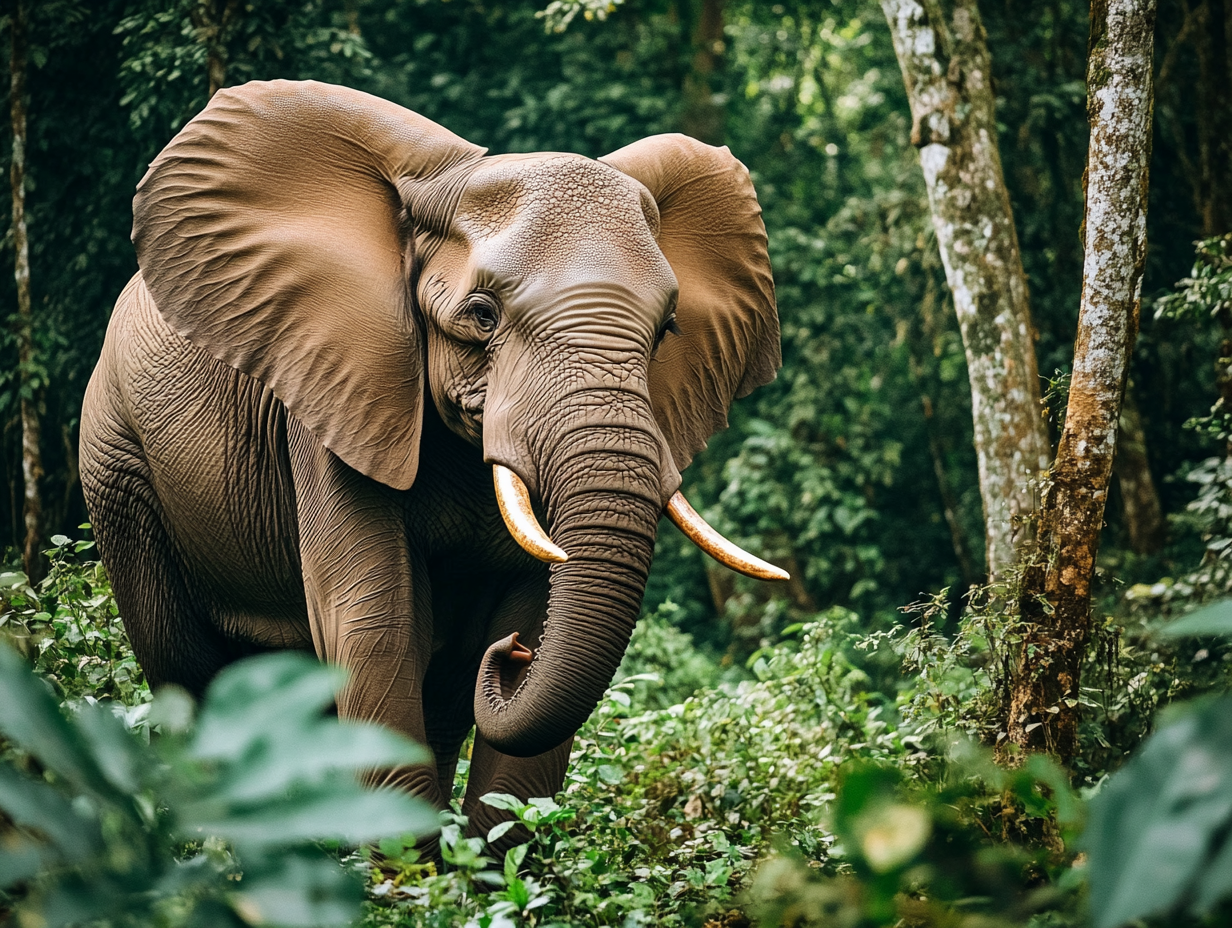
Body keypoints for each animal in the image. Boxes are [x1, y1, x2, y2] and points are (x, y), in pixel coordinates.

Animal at [80, 79, 785, 848]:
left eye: (665, 331)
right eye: (481, 315)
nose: (513, 656)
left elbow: (524, 621)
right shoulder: (336, 390)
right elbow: (375, 627)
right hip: (117, 464)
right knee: (184, 674)